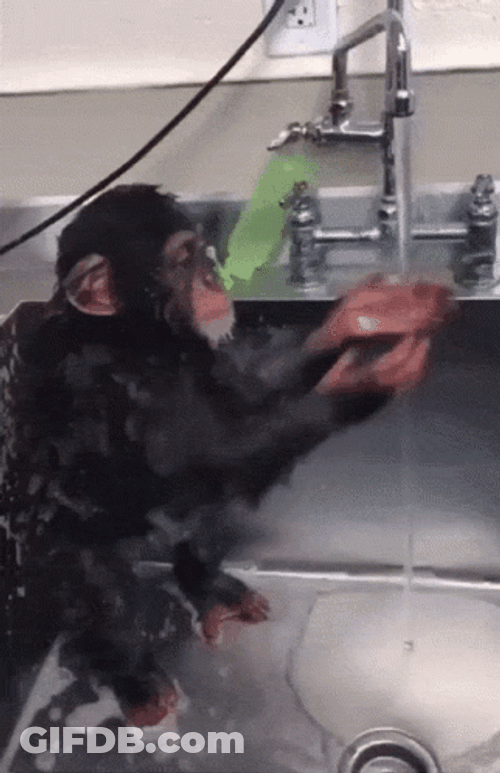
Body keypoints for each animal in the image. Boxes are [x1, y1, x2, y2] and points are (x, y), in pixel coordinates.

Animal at [0, 184, 453, 729]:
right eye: (181, 260)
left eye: (202, 252)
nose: (212, 278)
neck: (131, 335)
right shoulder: (109, 384)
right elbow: (215, 454)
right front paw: (368, 381)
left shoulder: (202, 356)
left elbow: (245, 400)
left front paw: (359, 315)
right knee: (103, 592)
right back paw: (138, 682)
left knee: (203, 520)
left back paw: (212, 589)